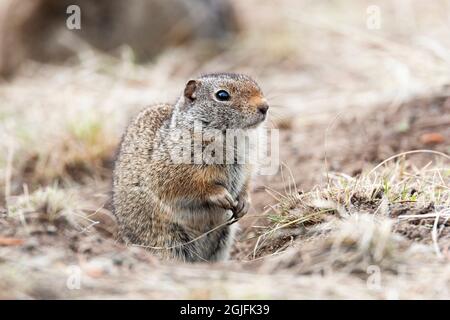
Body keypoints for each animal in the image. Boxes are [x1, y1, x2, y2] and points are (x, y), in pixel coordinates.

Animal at [113, 73, 268, 262]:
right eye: (222, 95)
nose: (265, 107)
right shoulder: (173, 170)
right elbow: (192, 185)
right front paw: (220, 195)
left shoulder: (247, 168)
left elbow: (246, 183)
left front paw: (245, 203)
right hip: (166, 238)